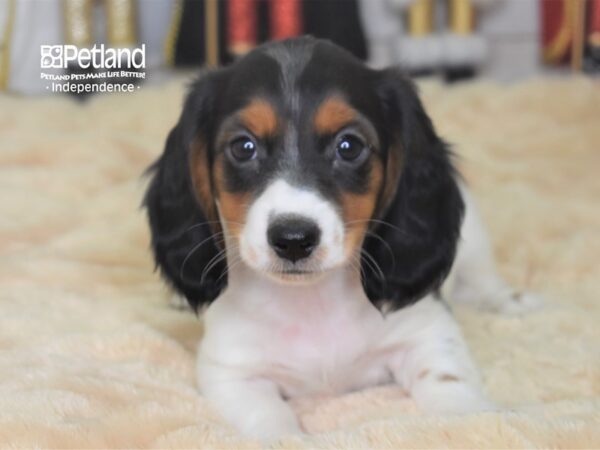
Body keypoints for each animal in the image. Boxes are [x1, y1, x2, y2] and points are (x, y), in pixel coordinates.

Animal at [145, 37, 540, 438]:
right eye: (243, 147)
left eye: (348, 146)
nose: (293, 238)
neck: (314, 302)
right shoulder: (232, 372)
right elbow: (271, 423)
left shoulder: (428, 333)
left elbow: (453, 391)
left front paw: (475, 420)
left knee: (484, 282)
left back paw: (514, 301)